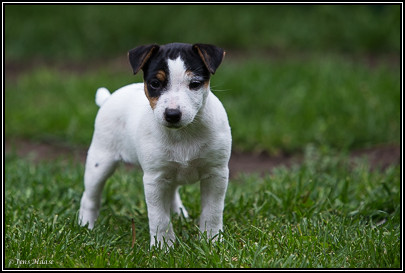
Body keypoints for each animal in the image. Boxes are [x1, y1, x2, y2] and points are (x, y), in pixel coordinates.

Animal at [78, 42, 230, 246]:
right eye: (155, 84)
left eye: (195, 84)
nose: (172, 114)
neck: (183, 133)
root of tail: (108, 99)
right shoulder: (154, 179)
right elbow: (159, 217)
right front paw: (164, 246)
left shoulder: (216, 174)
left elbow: (212, 211)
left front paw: (211, 240)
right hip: (100, 162)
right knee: (90, 197)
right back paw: (85, 227)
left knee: (172, 192)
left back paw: (180, 215)